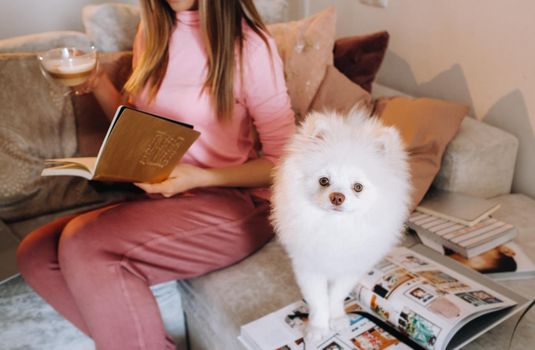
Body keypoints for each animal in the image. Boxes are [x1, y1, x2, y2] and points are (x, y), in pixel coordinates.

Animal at [270, 109, 412, 344]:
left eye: (358, 187)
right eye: (324, 181)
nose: (337, 197)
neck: (335, 226)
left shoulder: (350, 267)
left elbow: (336, 296)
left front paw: (336, 319)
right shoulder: (309, 267)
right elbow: (318, 300)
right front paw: (317, 329)